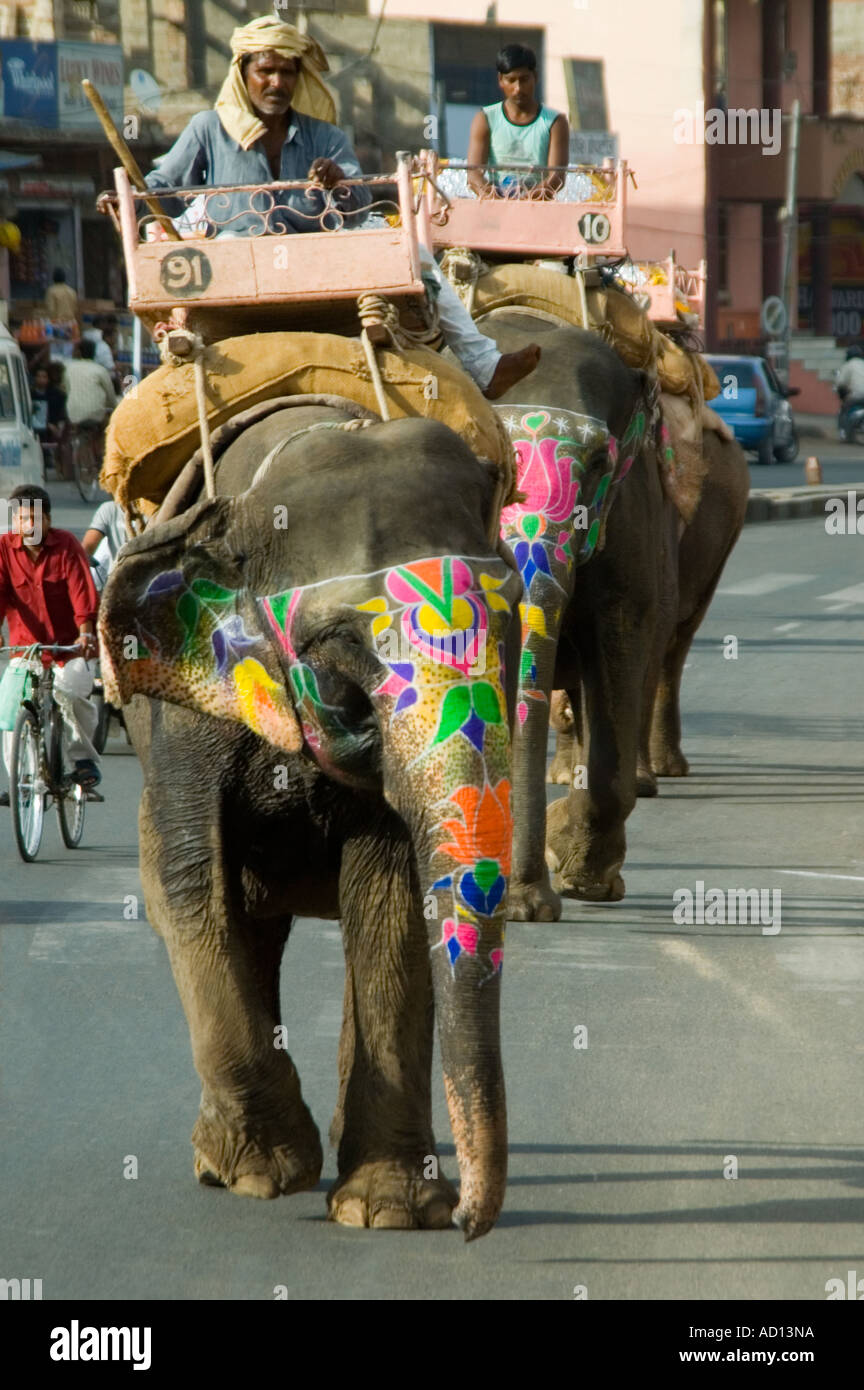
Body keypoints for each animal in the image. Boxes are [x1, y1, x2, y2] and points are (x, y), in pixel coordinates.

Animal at [100, 403, 522, 1239]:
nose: (468, 1221)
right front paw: (272, 1172)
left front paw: (386, 1209)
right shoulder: (183, 716)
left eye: (513, 628)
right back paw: (229, 1160)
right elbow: (187, 880)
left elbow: (390, 897)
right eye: (339, 649)